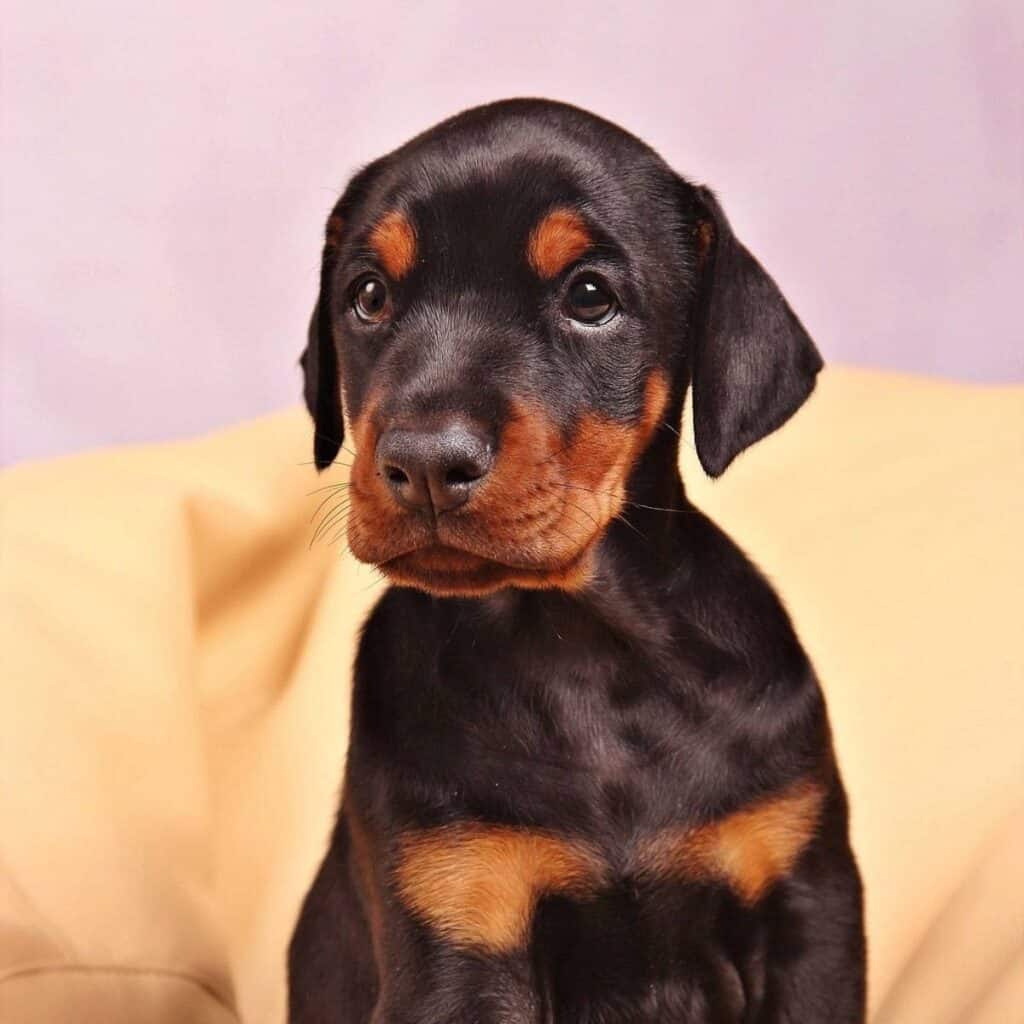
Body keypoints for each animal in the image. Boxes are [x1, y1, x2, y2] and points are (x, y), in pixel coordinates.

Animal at [288, 97, 864, 1024]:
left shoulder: (806, 908)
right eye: (367, 296)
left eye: (590, 296)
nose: (424, 463)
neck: (582, 647)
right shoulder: (460, 913)